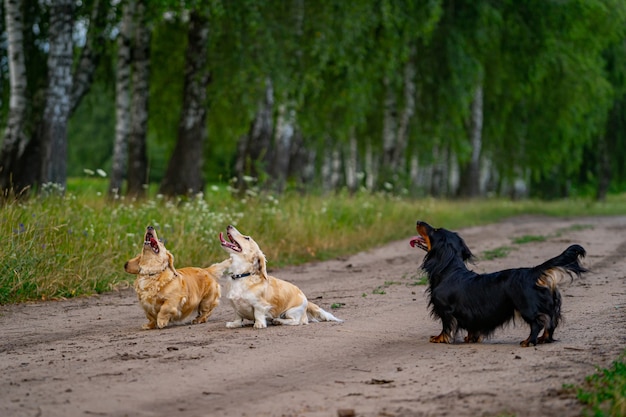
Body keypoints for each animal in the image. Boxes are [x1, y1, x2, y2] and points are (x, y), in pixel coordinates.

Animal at [410, 221, 584, 344]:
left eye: (435, 230)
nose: (418, 221)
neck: (449, 270)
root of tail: (533, 272)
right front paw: (470, 338)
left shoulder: (446, 310)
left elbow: (446, 327)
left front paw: (439, 338)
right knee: (551, 322)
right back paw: (543, 339)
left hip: (526, 306)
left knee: (538, 322)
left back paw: (529, 341)